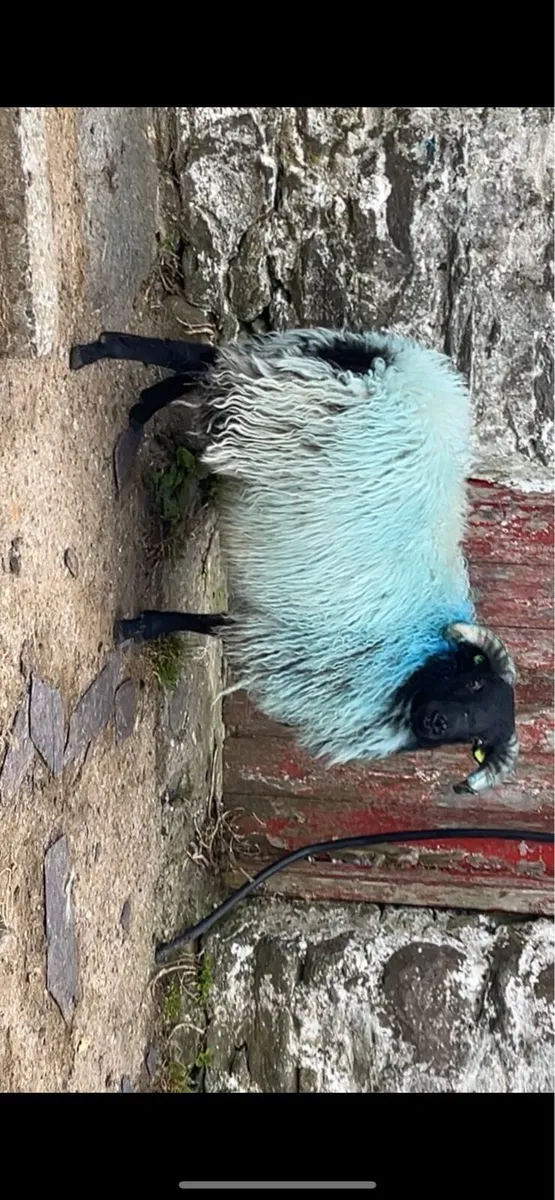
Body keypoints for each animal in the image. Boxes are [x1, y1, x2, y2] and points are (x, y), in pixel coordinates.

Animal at [70, 328, 519, 795]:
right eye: (474, 680)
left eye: (474, 740)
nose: (437, 722)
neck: (417, 659)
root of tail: (409, 365)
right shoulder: (282, 636)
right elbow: (201, 624)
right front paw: (135, 628)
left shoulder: (278, 636)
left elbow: (207, 625)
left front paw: (137, 626)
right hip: (288, 395)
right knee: (201, 359)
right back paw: (94, 357)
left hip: (282, 384)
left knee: (202, 368)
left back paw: (135, 409)